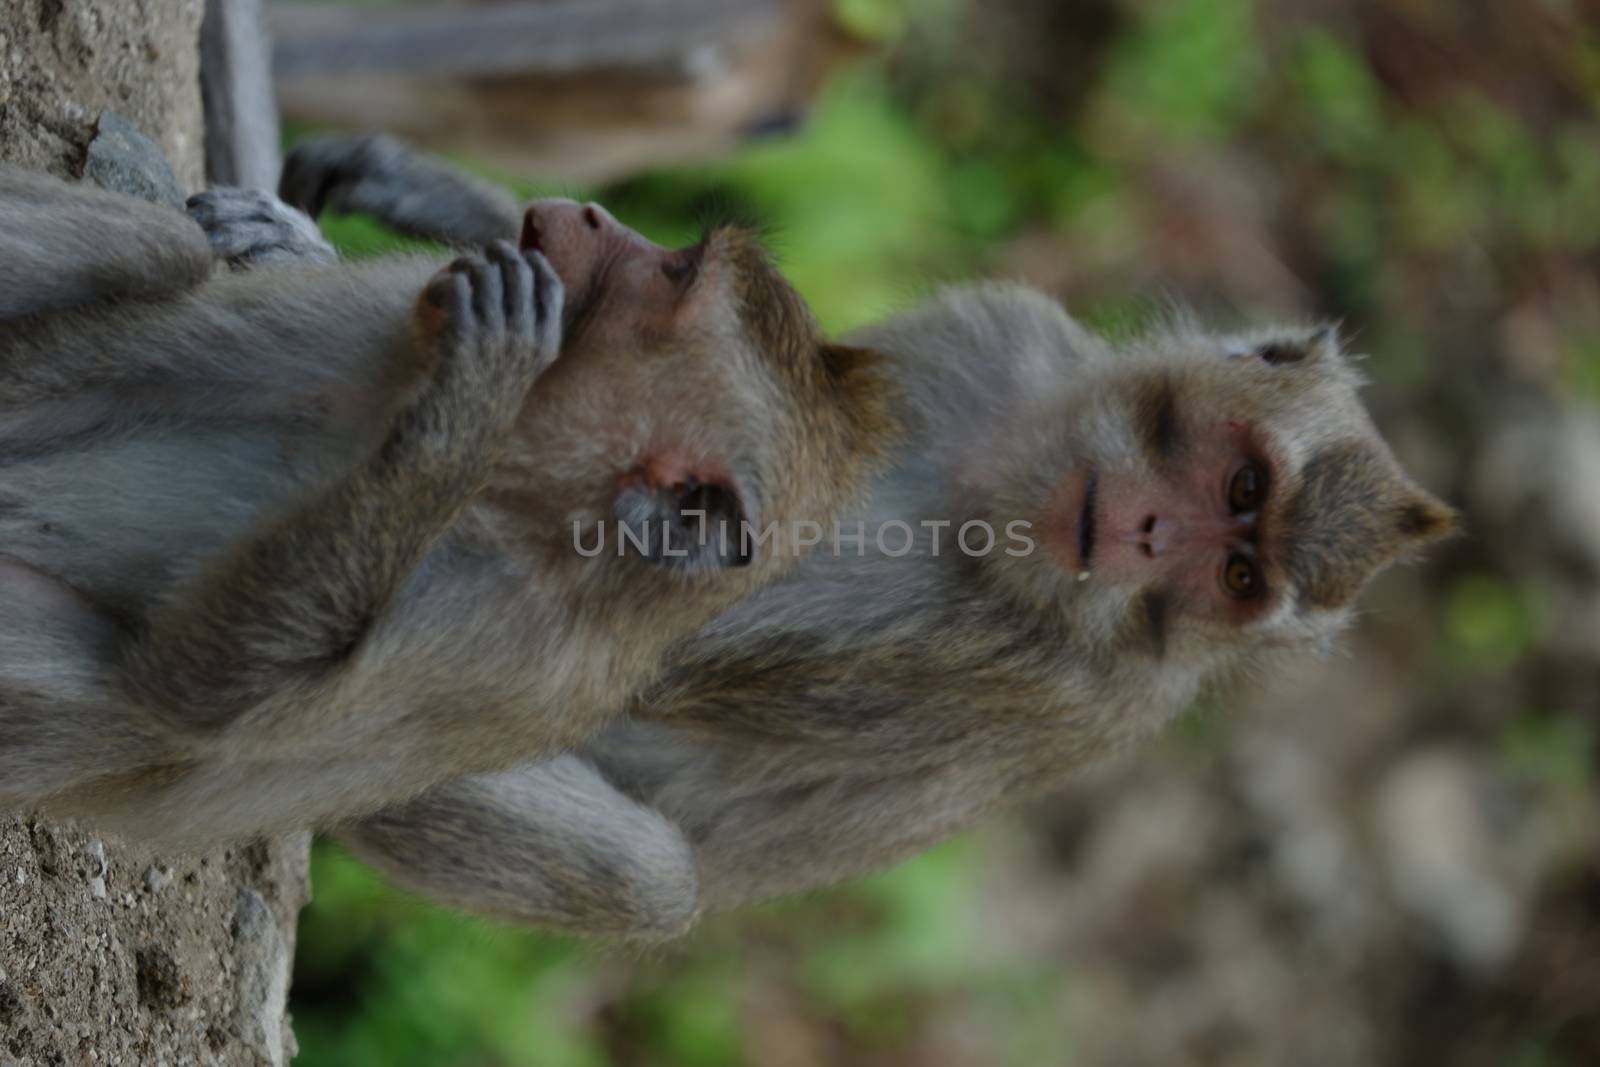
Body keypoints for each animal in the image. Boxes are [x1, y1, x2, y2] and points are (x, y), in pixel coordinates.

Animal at [0, 168, 896, 851]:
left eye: (674, 275)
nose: (594, 210)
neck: (518, 493)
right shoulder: (387, 314)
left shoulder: (499, 638)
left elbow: (192, 693)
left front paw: (469, 405)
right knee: (158, 247)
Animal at [272, 135, 1452, 940]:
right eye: (1243, 483)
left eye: (1238, 572)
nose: (1152, 532)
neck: (1007, 496)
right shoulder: (997, 335)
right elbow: (809, 387)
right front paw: (419, 198)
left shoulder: (1014, 664)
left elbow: (651, 651)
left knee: (649, 879)